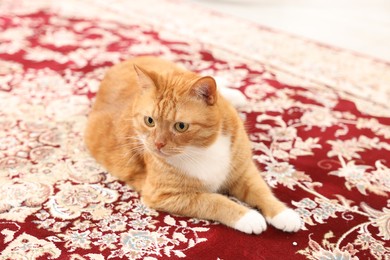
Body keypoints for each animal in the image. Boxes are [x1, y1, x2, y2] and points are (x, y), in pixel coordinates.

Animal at [85, 56, 302, 234]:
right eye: (149, 121)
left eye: (181, 126)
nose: (157, 144)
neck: (202, 149)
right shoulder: (165, 195)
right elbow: (215, 201)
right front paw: (248, 217)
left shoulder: (243, 172)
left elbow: (262, 191)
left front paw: (283, 214)